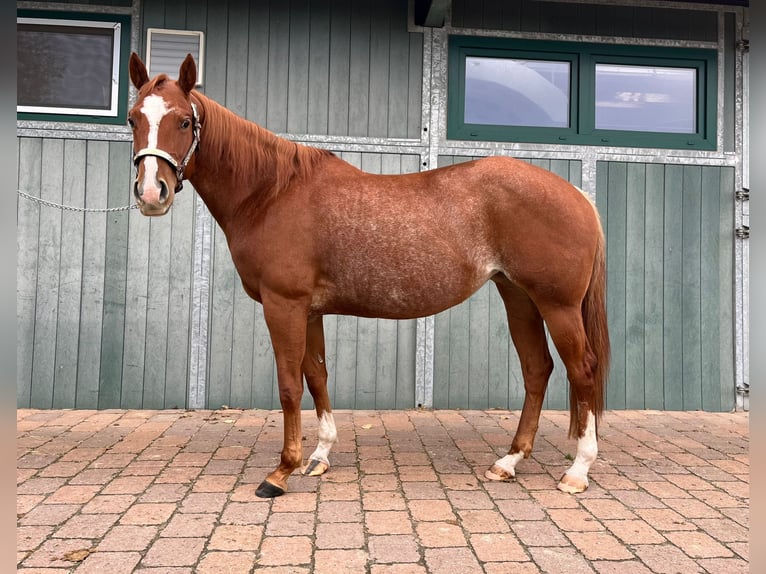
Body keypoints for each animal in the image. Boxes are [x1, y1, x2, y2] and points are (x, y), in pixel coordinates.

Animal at [132, 55, 612, 500]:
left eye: (184, 121)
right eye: (135, 117)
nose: (152, 193)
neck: (272, 193)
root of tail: (578, 197)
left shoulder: (284, 304)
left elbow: (289, 385)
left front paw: (281, 472)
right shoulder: (309, 311)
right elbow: (317, 376)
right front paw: (319, 456)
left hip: (558, 305)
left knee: (582, 370)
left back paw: (577, 470)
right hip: (519, 297)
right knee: (537, 369)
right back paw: (509, 461)